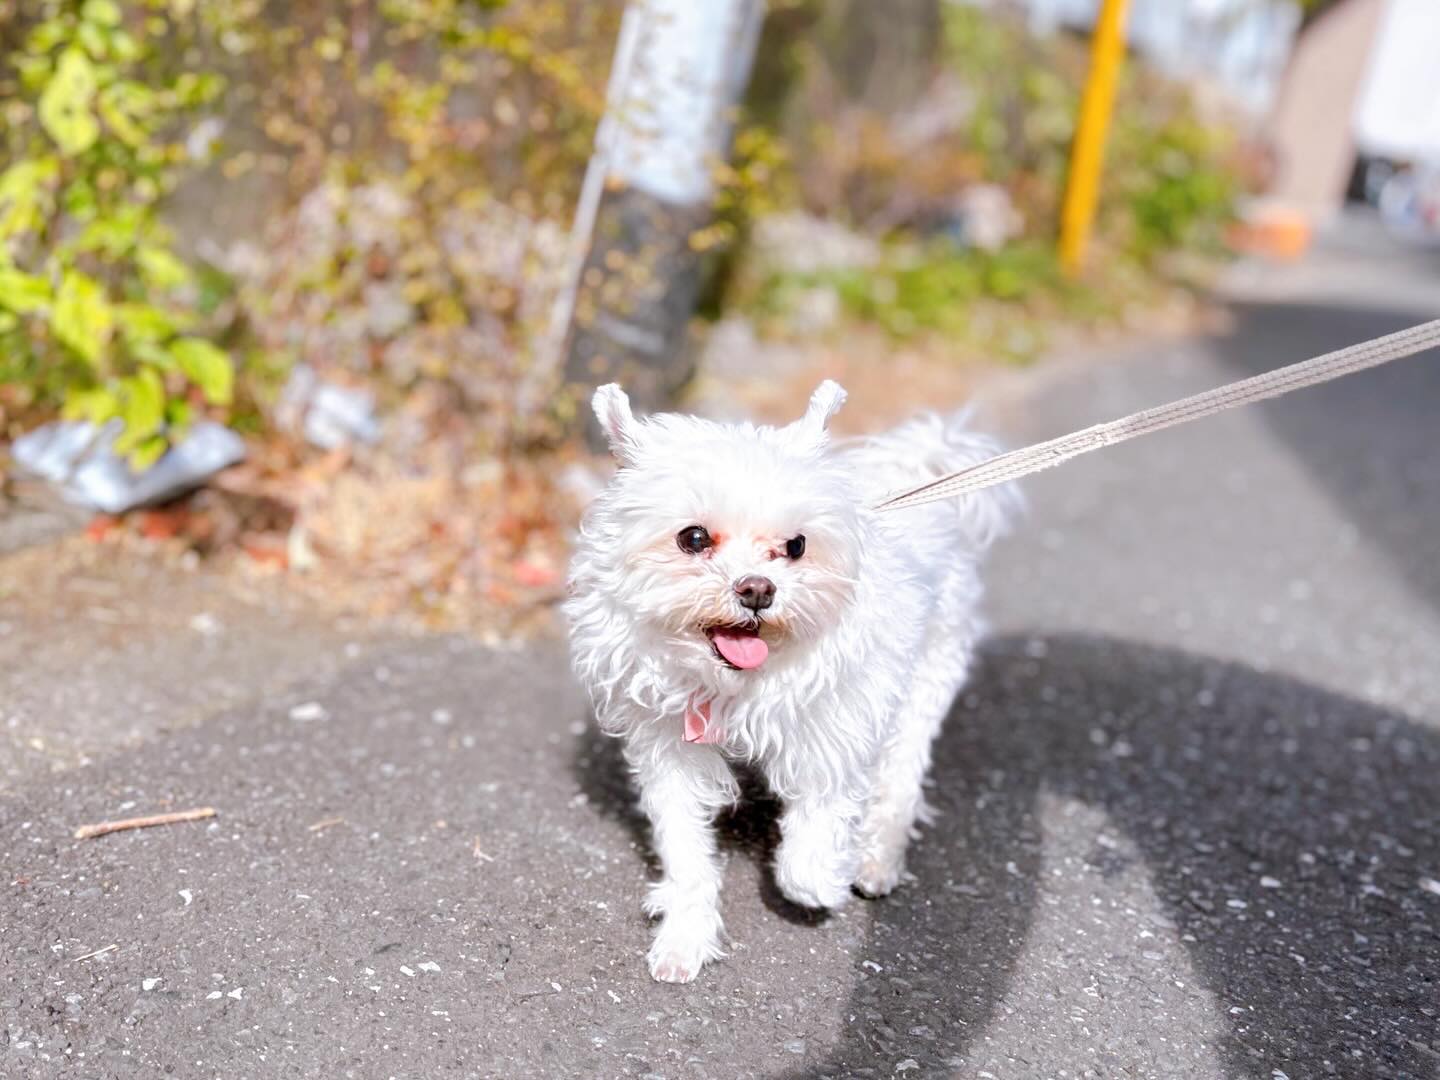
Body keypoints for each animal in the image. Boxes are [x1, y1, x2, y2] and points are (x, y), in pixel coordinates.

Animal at [565, 380, 1018, 982]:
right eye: (693, 538)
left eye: (797, 546)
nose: (758, 589)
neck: (731, 684)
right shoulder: (671, 750)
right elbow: (685, 851)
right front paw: (685, 936)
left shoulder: (832, 737)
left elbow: (809, 847)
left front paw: (824, 879)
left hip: (928, 672)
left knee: (900, 772)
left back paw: (876, 858)